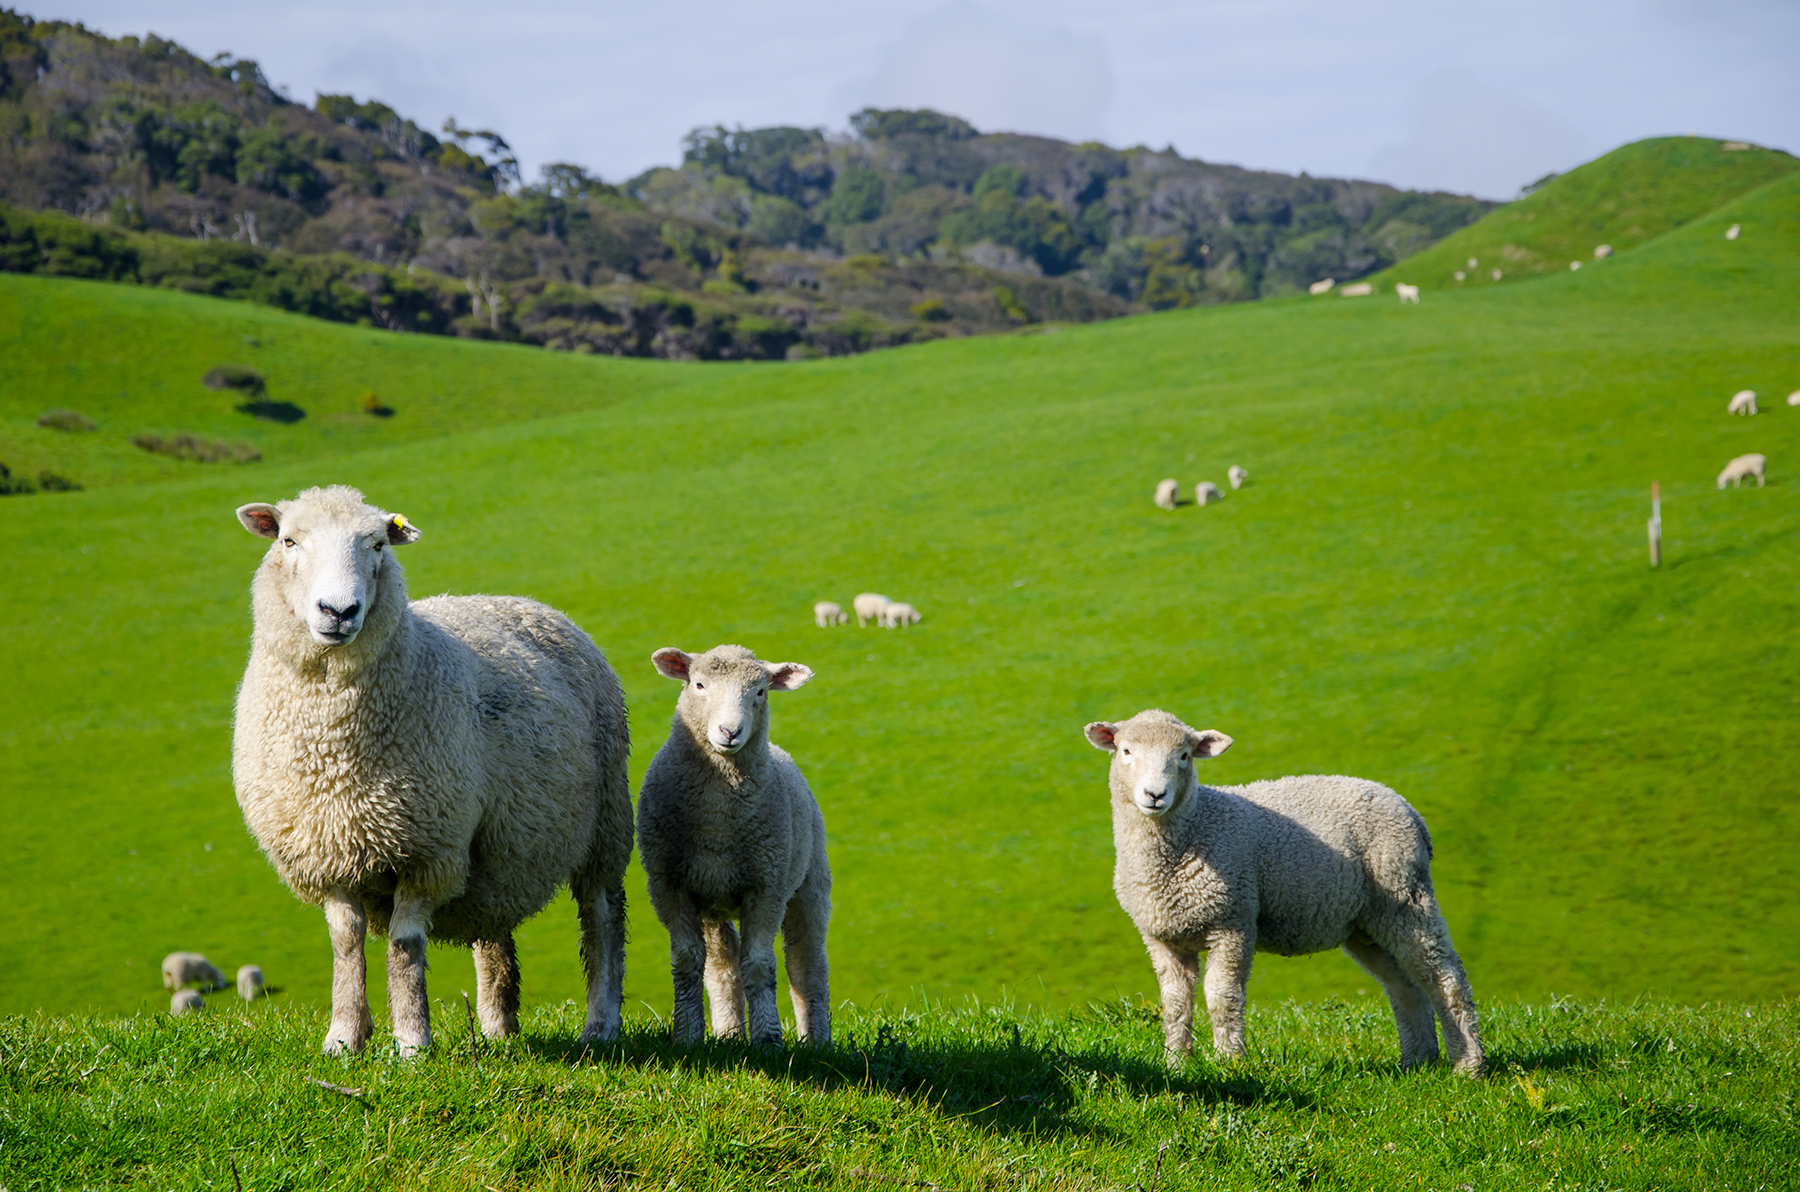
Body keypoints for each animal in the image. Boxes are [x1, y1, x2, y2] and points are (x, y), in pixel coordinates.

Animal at [231, 485, 632, 1057]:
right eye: (288, 540)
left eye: (377, 544)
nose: (339, 611)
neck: (334, 750)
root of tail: (531, 604)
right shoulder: (326, 851)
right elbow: (345, 943)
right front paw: (344, 1037)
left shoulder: (428, 849)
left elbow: (404, 946)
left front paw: (412, 1042)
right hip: (499, 852)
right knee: (495, 932)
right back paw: (497, 1028)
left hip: (605, 824)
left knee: (602, 919)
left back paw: (600, 1024)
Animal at [638, 645, 831, 1047]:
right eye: (698, 684)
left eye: (760, 691)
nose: (730, 732)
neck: (717, 823)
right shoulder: (668, 885)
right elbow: (688, 961)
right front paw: (686, 1035)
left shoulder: (767, 886)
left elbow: (758, 963)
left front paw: (768, 1039)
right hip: (713, 901)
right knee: (722, 965)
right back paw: (728, 1032)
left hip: (809, 883)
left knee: (806, 962)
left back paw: (817, 1039)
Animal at [1083, 709, 1484, 1075]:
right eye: (1126, 751)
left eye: (1183, 756)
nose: (1155, 794)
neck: (1193, 828)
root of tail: (1408, 809)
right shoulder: (1162, 937)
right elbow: (1175, 1003)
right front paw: (1176, 1066)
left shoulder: (1234, 922)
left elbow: (1222, 997)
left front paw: (1230, 1063)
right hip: (1366, 923)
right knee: (1405, 985)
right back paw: (1417, 1062)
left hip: (1405, 895)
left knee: (1445, 977)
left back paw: (1468, 1065)